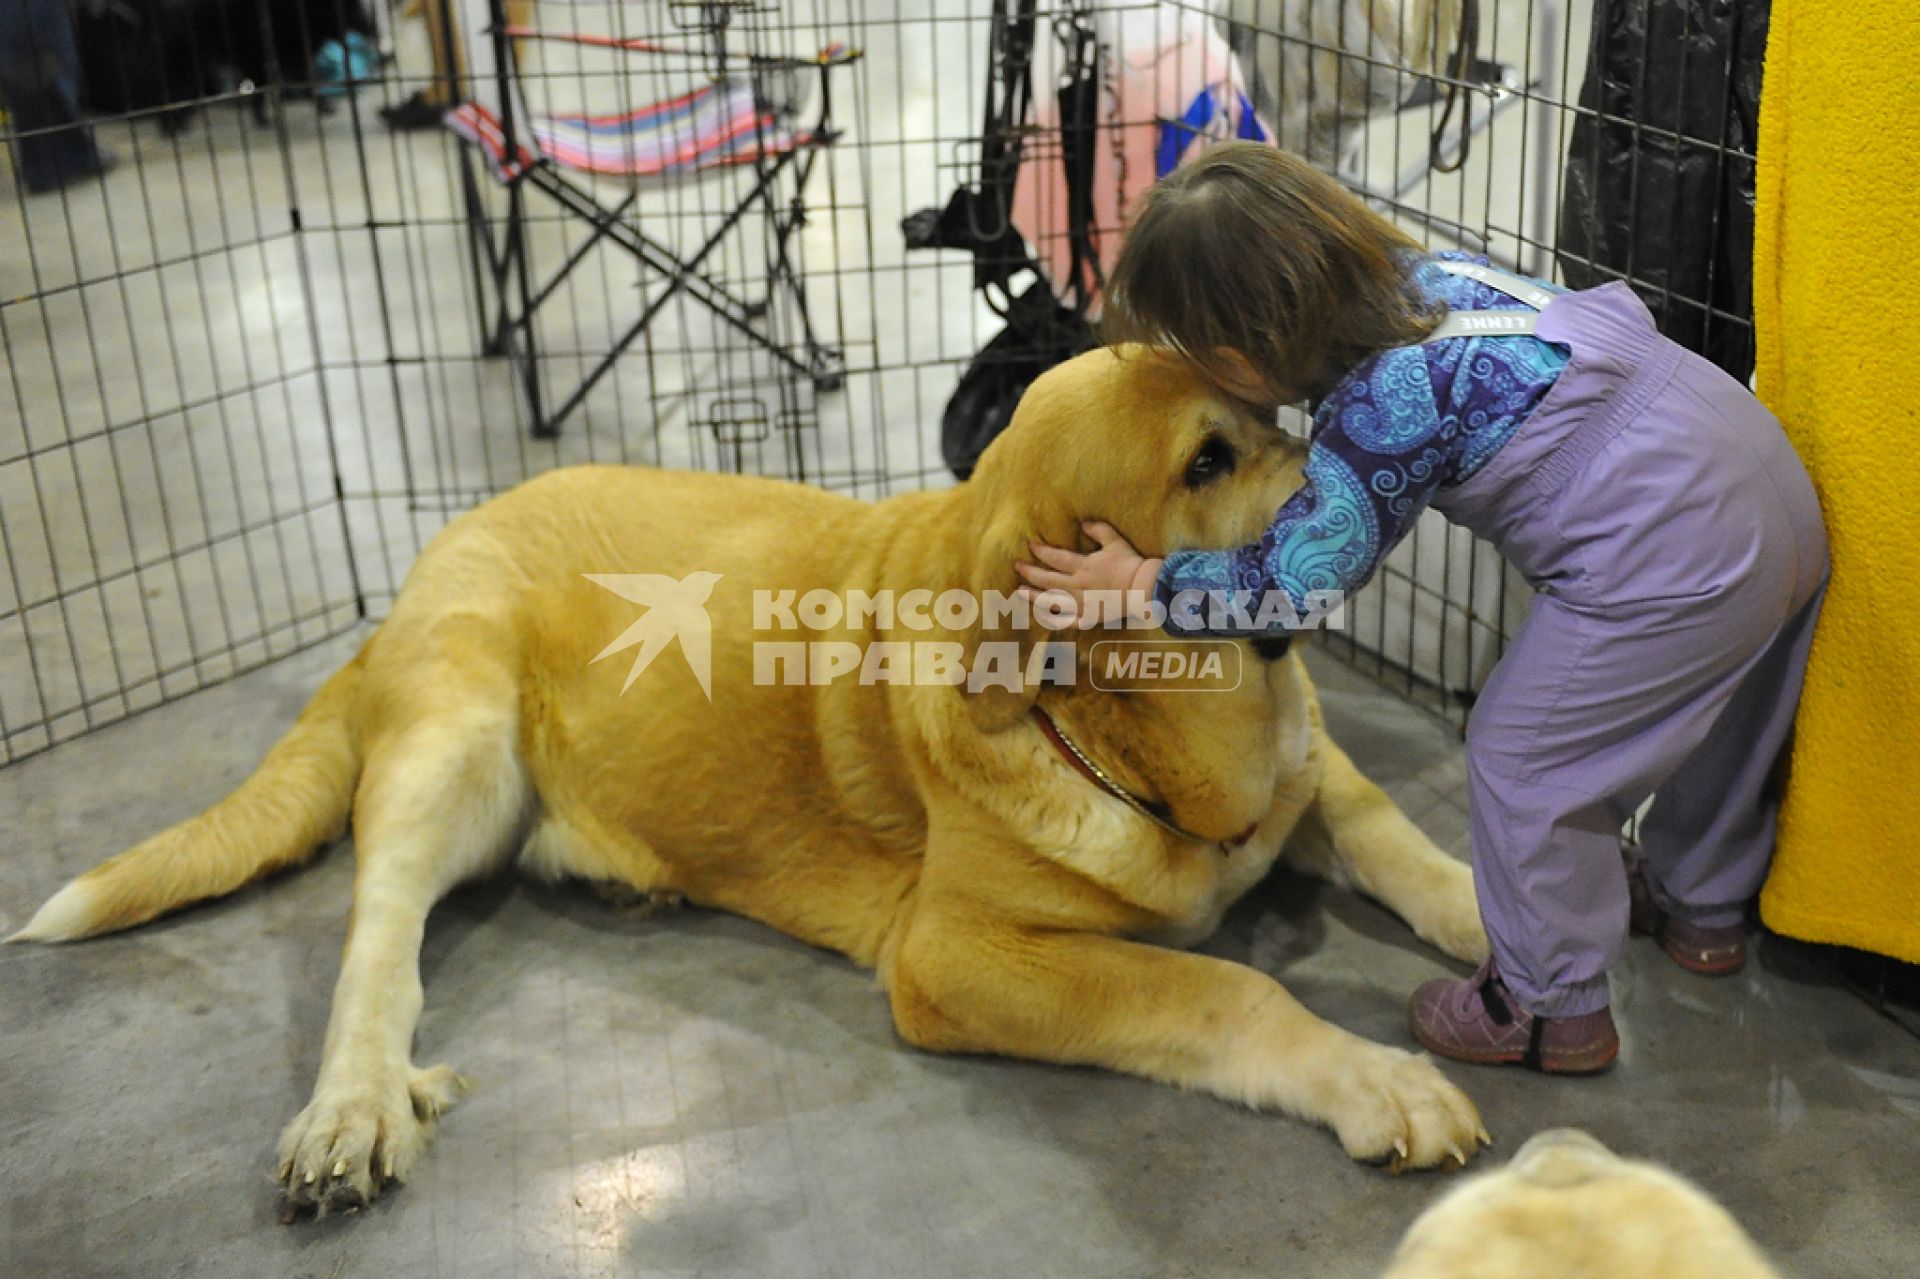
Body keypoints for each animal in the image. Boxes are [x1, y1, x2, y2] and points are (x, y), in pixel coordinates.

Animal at [7, 343, 1489, 1213]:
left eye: (1266, 412)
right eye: (1207, 460)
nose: (1363, 458)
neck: (1125, 723)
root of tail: (417, 569)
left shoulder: (1314, 781)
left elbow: (1394, 832)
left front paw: (1489, 916)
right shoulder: (959, 960)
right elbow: (1223, 989)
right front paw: (1380, 1079)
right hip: (453, 750)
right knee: (379, 938)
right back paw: (355, 1106)